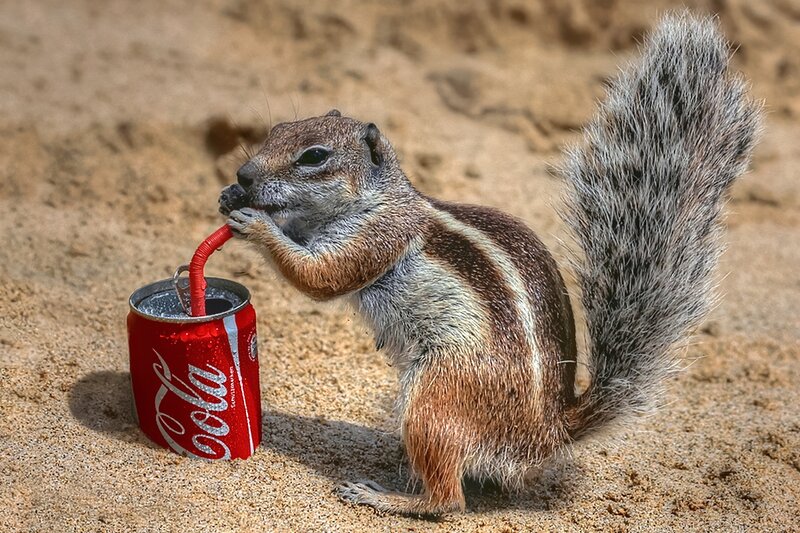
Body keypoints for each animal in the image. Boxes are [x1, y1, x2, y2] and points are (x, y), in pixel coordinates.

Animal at [219, 14, 761, 516]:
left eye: (314, 156)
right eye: (276, 130)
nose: (243, 174)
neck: (382, 198)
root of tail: (549, 434)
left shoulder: (380, 236)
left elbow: (322, 276)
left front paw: (258, 224)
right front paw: (232, 198)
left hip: (437, 397)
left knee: (449, 499)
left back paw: (389, 496)